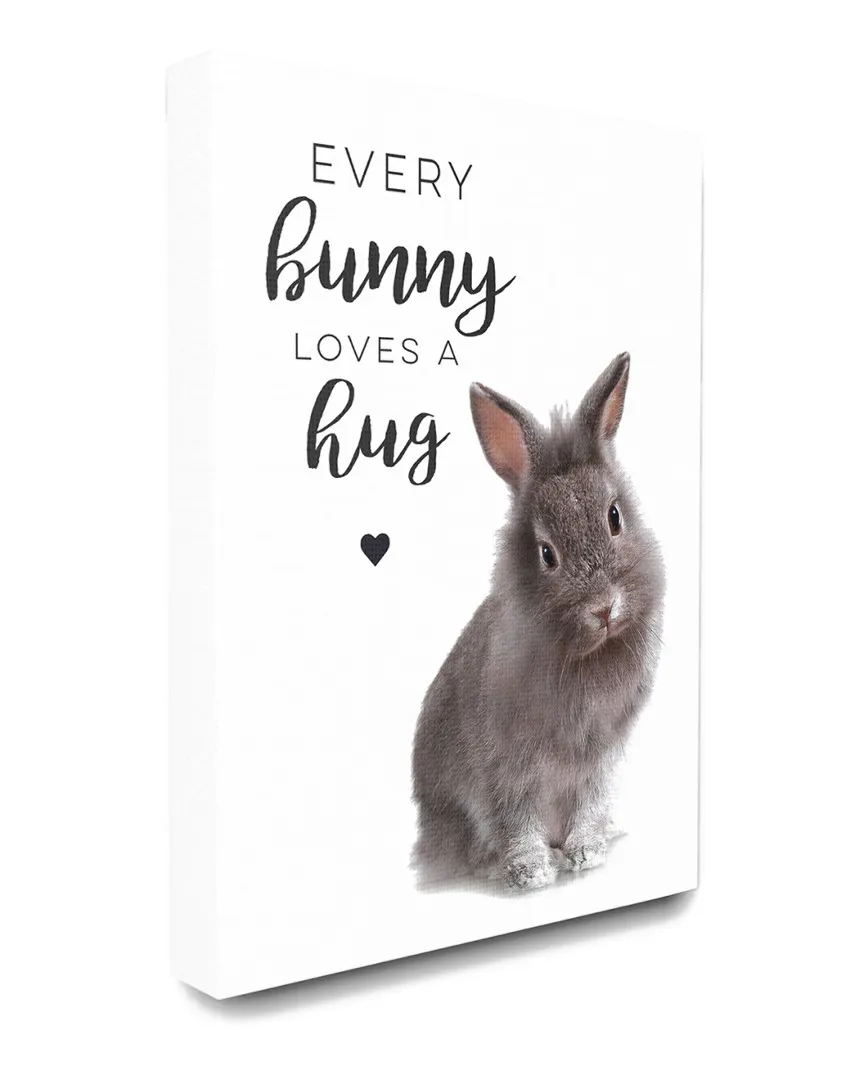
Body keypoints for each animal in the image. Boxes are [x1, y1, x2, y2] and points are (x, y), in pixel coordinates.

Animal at [412, 353, 665, 889]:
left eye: (615, 517)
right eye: (546, 553)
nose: (604, 609)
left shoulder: (598, 758)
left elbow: (588, 803)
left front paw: (587, 852)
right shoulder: (506, 766)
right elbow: (516, 816)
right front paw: (530, 872)